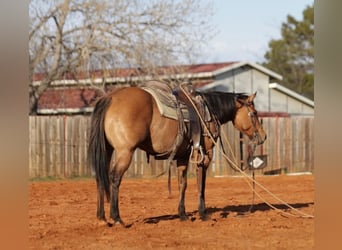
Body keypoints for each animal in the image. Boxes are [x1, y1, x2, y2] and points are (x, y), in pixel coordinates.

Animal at [87, 81, 266, 225]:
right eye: (254, 113)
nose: (263, 136)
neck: (208, 111)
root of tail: (110, 98)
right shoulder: (205, 155)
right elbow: (201, 183)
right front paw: (203, 213)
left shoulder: (182, 156)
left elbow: (183, 184)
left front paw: (183, 214)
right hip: (125, 152)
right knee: (114, 178)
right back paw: (116, 218)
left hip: (107, 151)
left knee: (100, 178)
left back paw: (101, 217)